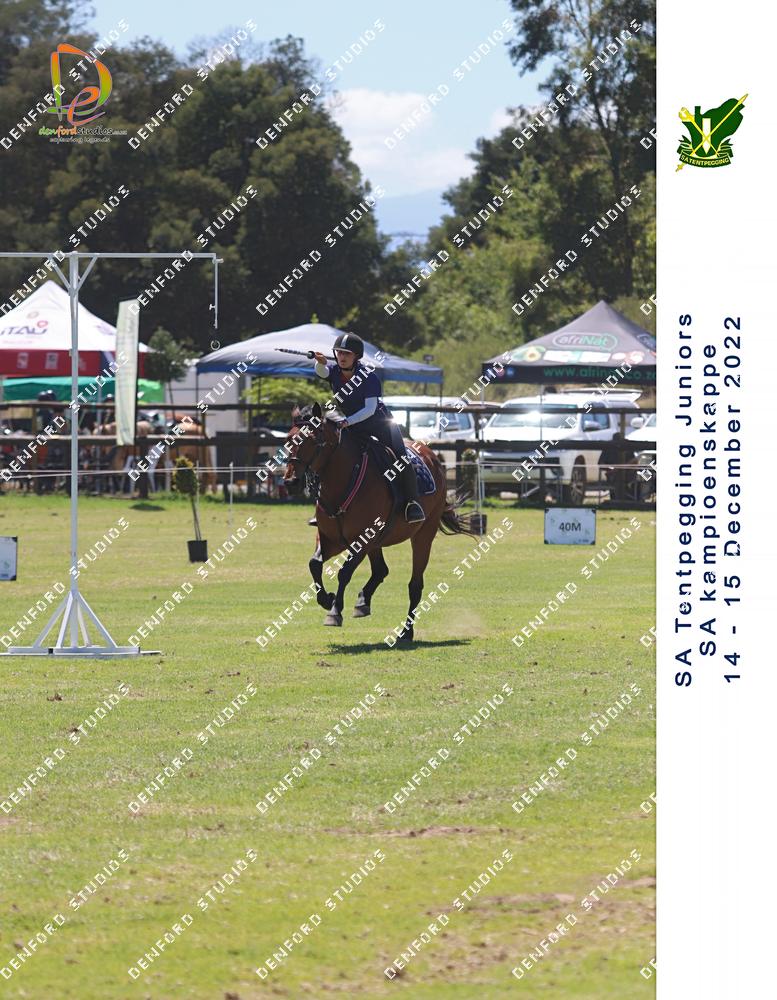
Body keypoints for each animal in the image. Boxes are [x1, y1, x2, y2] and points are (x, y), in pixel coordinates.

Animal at [282, 402, 477, 644]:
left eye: (311, 440)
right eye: (288, 439)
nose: (290, 482)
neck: (344, 480)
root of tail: (433, 459)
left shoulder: (361, 541)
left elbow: (344, 573)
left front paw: (334, 612)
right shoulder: (332, 540)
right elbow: (314, 564)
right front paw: (327, 599)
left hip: (422, 535)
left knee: (415, 584)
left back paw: (406, 631)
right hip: (377, 542)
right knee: (381, 570)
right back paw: (363, 601)